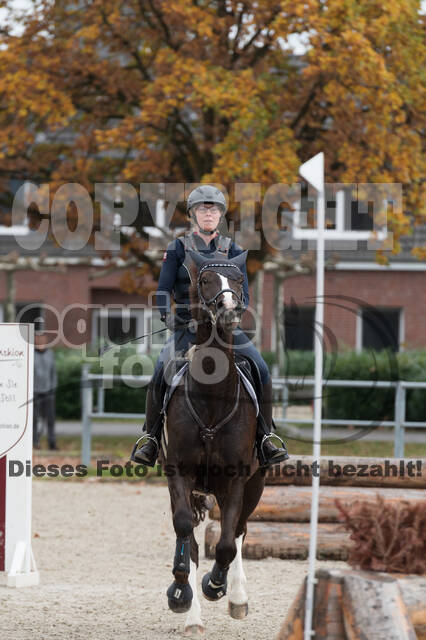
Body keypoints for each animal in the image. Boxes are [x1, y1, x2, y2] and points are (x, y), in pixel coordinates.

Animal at [161, 250, 264, 636]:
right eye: (205, 280)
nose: (228, 307)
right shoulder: (178, 474)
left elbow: (225, 545)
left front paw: (215, 585)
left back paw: (236, 597)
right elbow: (184, 532)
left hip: (254, 486)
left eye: (238, 279)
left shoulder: (236, 480)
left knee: (238, 532)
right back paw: (192, 615)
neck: (211, 398)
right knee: (191, 538)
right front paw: (180, 591)